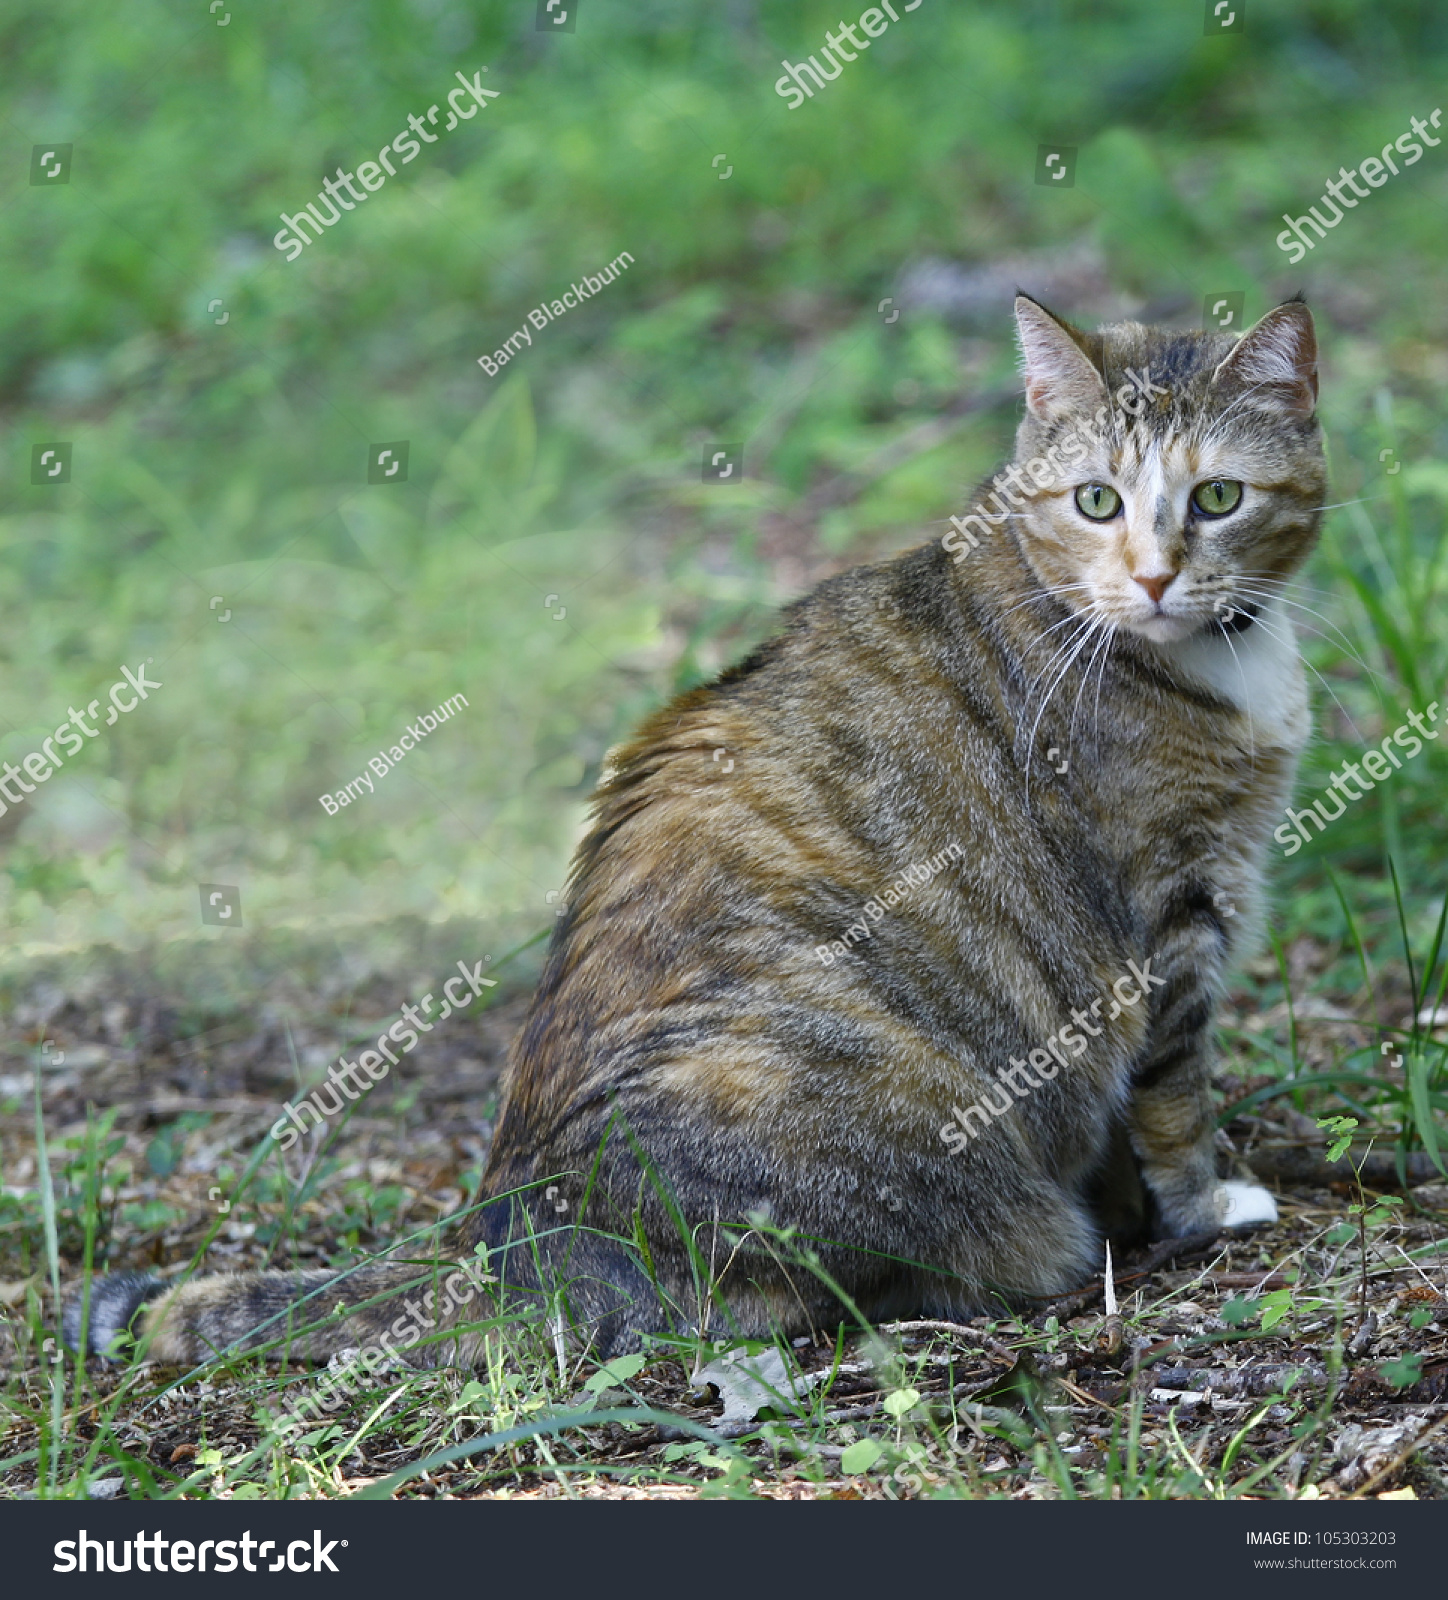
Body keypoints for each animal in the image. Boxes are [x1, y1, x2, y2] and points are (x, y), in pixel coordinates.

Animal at [68, 300, 1324, 1376]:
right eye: (1096, 503)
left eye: (1216, 497)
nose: (1154, 576)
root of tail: (514, 1243)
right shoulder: (1163, 917)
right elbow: (1171, 1098)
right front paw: (1201, 1204)